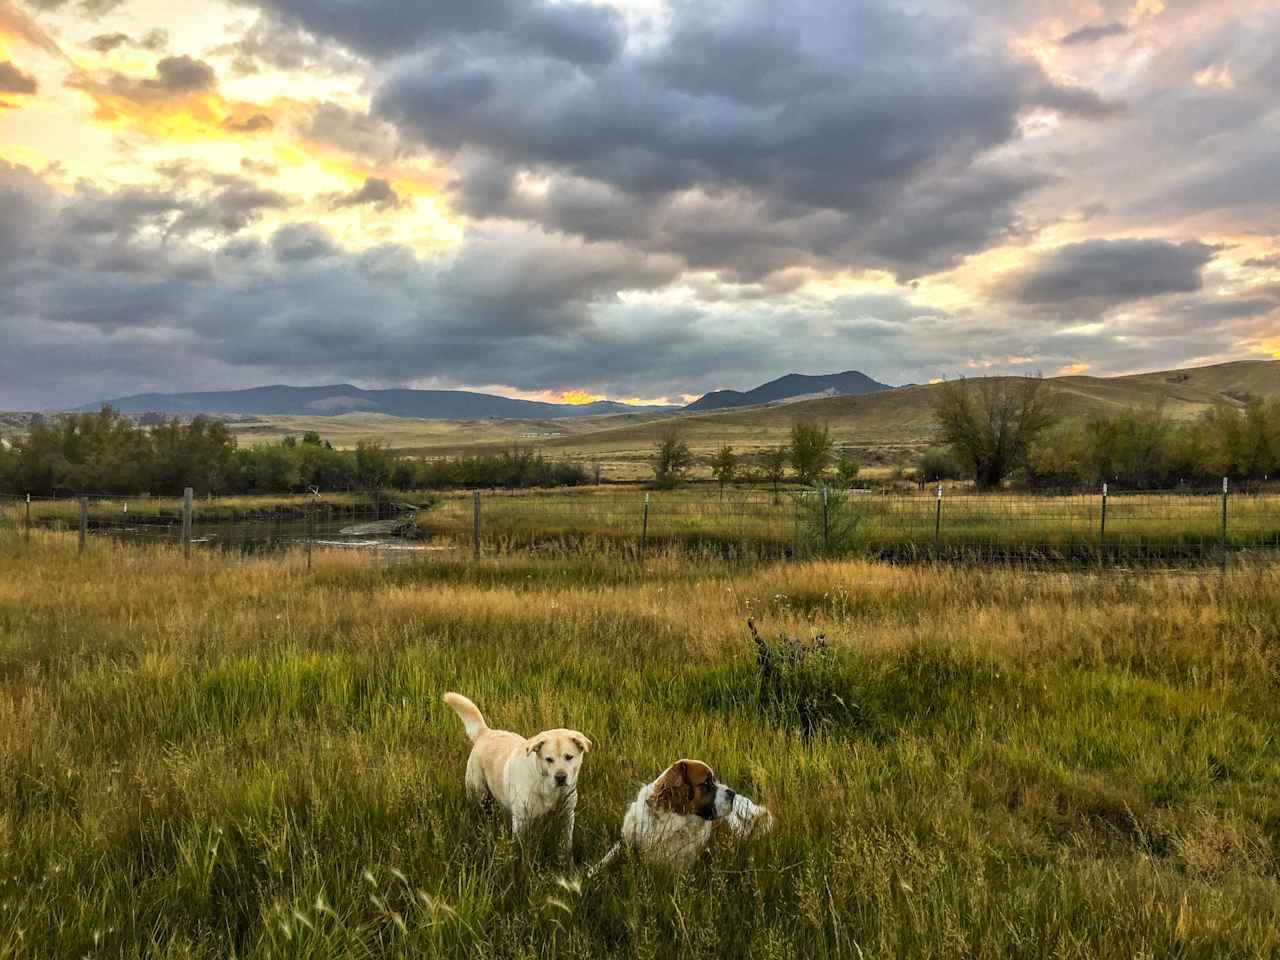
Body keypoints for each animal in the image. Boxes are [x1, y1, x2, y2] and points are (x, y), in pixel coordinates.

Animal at [442, 691, 591, 855]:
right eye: (549, 759)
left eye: (569, 757)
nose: (560, 777)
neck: (547, 788)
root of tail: (486, 732)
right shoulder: (521, 820)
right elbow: (521, 846)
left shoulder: (567, 816)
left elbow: (566, 844)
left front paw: (566, 858)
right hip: (477, 793)